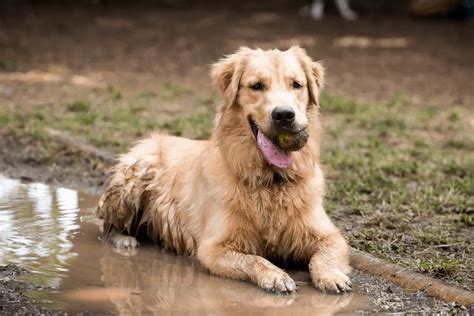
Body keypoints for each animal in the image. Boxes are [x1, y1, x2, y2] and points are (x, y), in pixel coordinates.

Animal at [96, 46, 352, 294]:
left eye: (297, 84)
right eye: (256, 86)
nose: (284, 115)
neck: (271, 179)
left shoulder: (329, 236)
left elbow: (324, 257)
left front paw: (332, 276)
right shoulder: (214, 248)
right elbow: (254, 260)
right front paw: (275, 276)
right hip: (135, 175)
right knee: (105, 225)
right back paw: (124, 240)